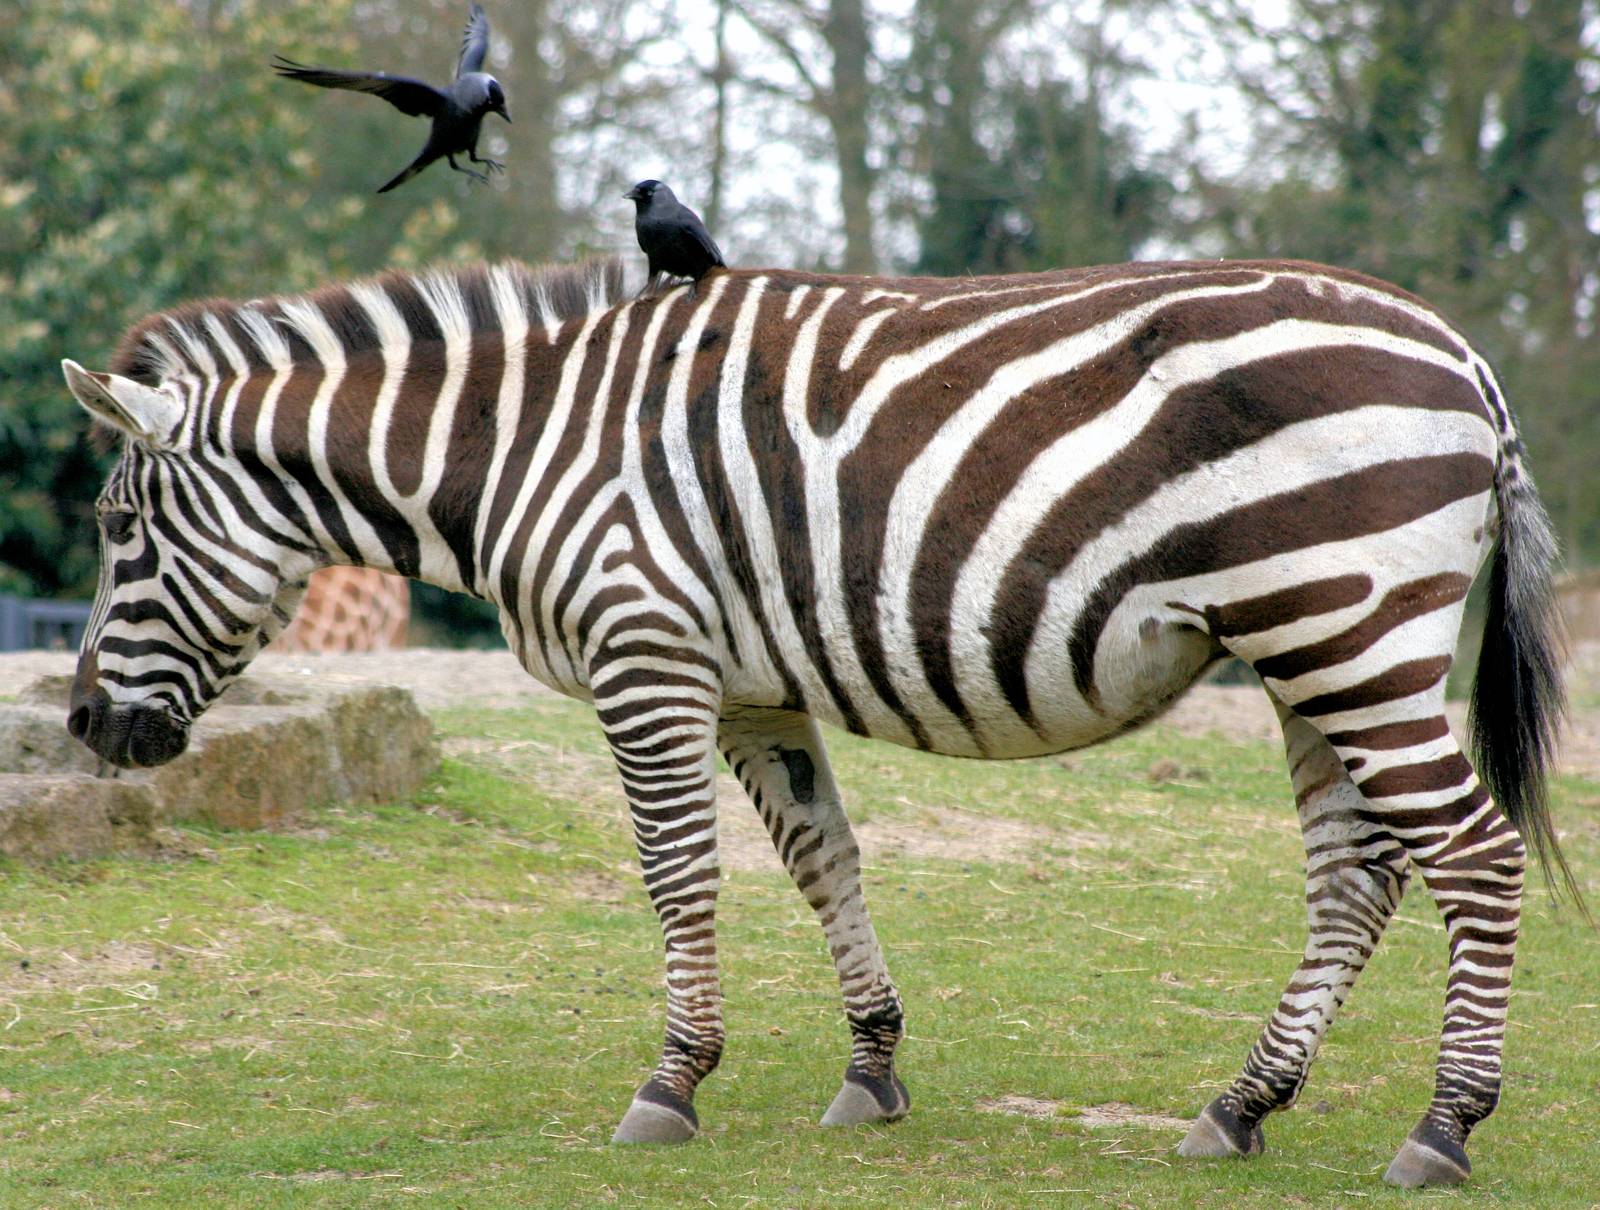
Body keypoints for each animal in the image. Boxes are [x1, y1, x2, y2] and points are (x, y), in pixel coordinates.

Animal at [60, 254, 1578, 1187]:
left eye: (119, 528)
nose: (80, 729)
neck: (518, 448)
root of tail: (1465, 357)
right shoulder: (753, 688)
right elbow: (821, 859)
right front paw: (873, 1065)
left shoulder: (647, 657)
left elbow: (676, 876)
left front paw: (671, 1084)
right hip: (1309, 646)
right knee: (1357, 876)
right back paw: (1242, 1102)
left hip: (1346, 627)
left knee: (1473, 857)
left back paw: (1442, 1125)